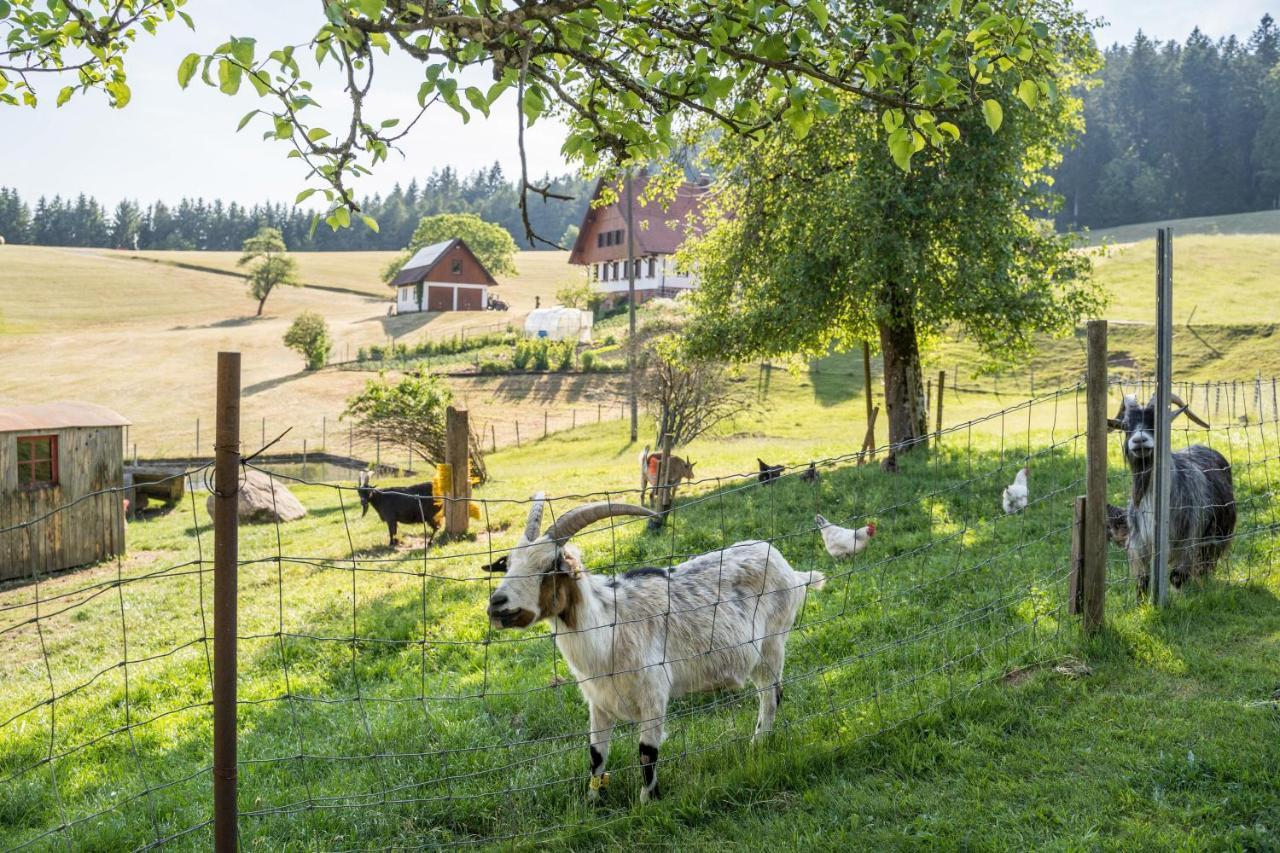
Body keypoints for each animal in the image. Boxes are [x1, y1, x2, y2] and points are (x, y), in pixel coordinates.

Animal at [483, 494, 824, 799]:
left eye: (550, 565)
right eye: (508, 564)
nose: (497, 604)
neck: (609, 628)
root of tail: (790, 569)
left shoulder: (653, 695)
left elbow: (647, 753)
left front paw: (647, 802)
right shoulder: (599, 702)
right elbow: (596, 754)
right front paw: (591, 802)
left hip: (772, 644)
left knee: (771, 695)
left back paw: (758, 744)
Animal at [1111, 391, 1239, 591]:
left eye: (1155, 421)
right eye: (1125, 426)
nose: (1139, 440)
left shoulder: (1187, 541)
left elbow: (1177, 577)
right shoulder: (1138, 545)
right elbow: (1142, 581)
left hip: (1216, 535)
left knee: (1205, 564)